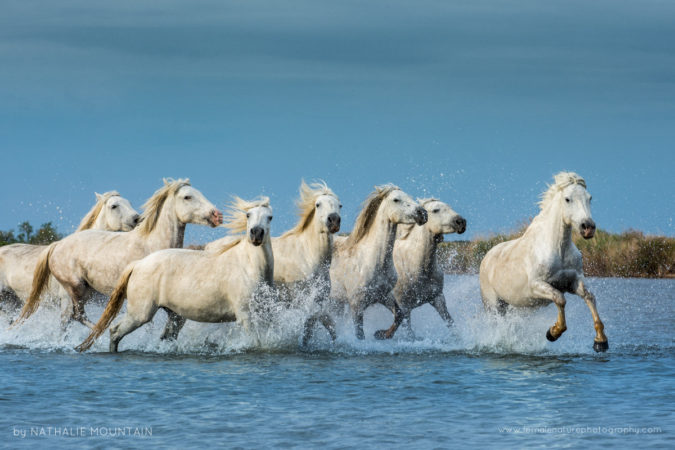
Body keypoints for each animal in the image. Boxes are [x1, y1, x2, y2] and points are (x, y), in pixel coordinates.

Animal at [16, 179, 223, 328]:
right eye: (188, 197)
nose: (217, 215)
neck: (151, 245)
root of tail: (56, 245)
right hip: (76, 289)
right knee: (76, 316)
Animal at [76, 197, 274, 352]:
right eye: (248, 215)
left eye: (270, 217)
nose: (256, 234)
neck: (248, 266)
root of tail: (137, 264)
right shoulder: (245, 315)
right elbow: (256, 342)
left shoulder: (263, 315)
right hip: (140, 313)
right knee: (115, 331)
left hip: (175, 316)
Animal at [329, 185, 428, 340]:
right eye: (396, 199)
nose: (423, 213)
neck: (373, 261)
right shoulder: (356, 304)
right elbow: (359, 334)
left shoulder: (383, 295)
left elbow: (399, 314)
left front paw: (381, 334)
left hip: (335, 302)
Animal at [375, 198, 466, 339]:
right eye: (436, 210)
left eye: (450, 207)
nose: (461, 222)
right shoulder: (404, 306)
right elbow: (409, 334)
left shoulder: (438, 298)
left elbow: (451, 323)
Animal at [479, 172, 608, 352]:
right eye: (567, 199)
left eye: (589, 198)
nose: (588, 227)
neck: (558, 248)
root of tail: (486, 257)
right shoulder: (536, 286)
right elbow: (560, 299)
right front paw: (553, 332)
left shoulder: (573, 281)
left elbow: (589, 297)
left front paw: (600, 341)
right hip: (493, 305)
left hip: (513, 307)